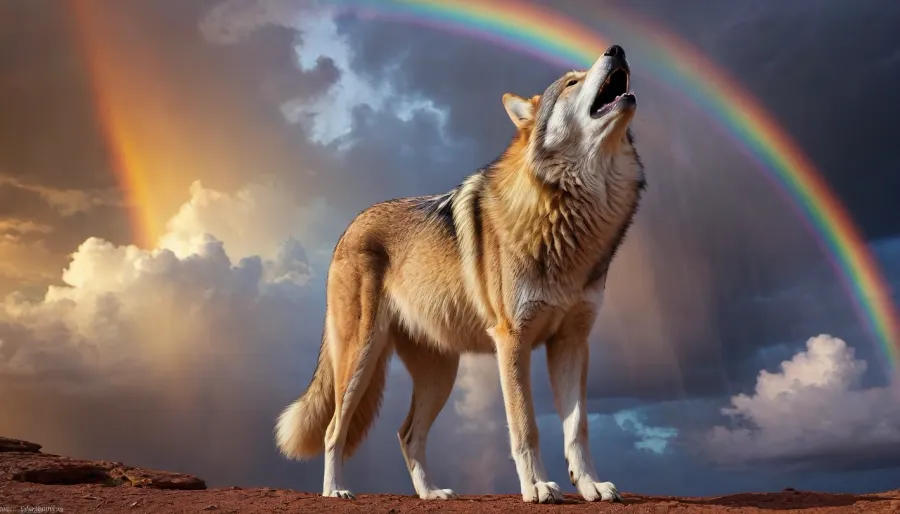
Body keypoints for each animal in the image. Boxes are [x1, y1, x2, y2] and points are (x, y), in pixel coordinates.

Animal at [275, 44, 645, 504]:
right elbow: (526, 427)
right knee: (333, 430)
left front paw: (591, 485)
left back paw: (430, 493)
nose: (617, 49)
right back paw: (336, 491)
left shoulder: (572, 342)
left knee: (407, 434)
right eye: (571, 82)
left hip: (440, 375)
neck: (570, 211)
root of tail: (351, 225)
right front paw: (538, 487)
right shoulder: (512, 341)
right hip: (360, 359)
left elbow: (577, 427)